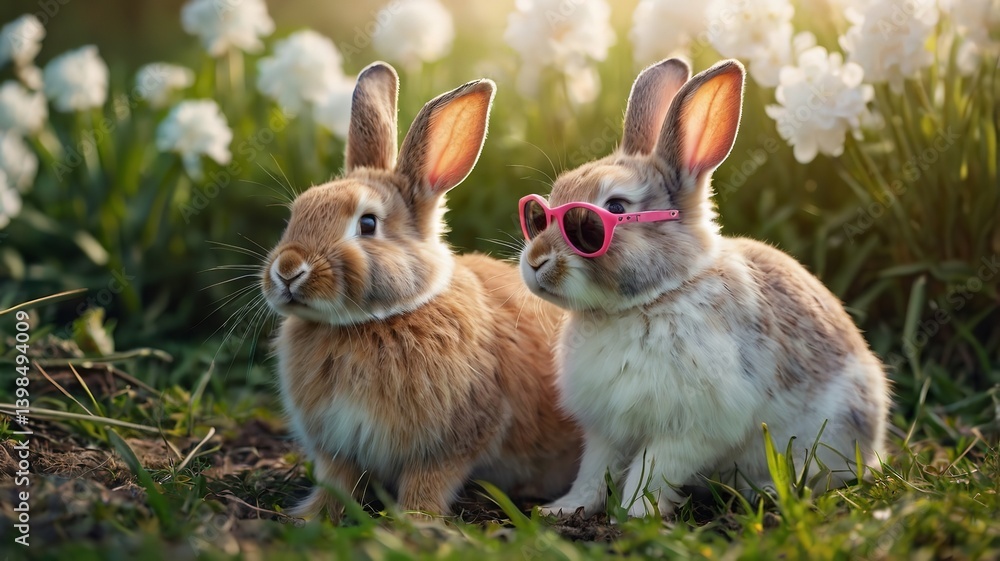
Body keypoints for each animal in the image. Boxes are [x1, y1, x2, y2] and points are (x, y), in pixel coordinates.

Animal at [261, 61, 581, 520]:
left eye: (368, 224)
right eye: (297, 212)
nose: (288, 270)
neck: (369, 324)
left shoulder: (450, 443)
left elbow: (428, 482)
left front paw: (415, 521)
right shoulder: (338, 448)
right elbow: (336, 481)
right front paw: (312, 516)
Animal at [517, 58, 890, 518]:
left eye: (611, 210)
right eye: (540, 212)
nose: (536, 262)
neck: (652, 299)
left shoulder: (692, 428)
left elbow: (653, 468)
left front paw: (637, 514)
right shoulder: (606, 429)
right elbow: (593, 469)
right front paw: (566, 509)